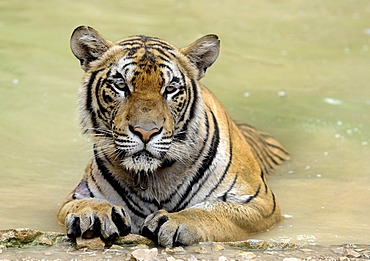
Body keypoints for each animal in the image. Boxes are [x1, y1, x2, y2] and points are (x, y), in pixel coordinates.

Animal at [57, 25, 290, 247]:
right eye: (121, 85)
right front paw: (94, 214)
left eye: (170, 89)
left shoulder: (259, 203)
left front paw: (175, 221)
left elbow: (208, 211)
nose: (146, 132)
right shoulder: (74, 197)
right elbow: (84, 203)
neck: (153, 178)